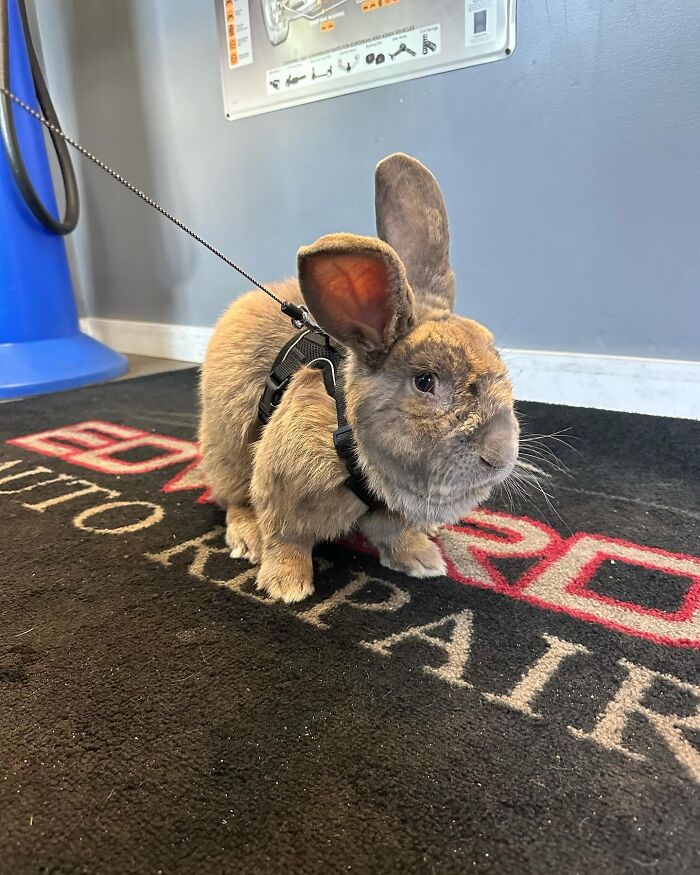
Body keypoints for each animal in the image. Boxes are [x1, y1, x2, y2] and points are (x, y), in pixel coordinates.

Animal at [199, 153, 519, 603]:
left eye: (497, 357)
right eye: (425, 381)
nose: (500, 454)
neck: (349, 432)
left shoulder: (390, 514)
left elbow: (396, 535)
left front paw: (423, 560)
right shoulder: (281, 488)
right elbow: (286, 538)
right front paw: (287, 586)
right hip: (226, 449)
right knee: (234, 499)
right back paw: (247, 540)